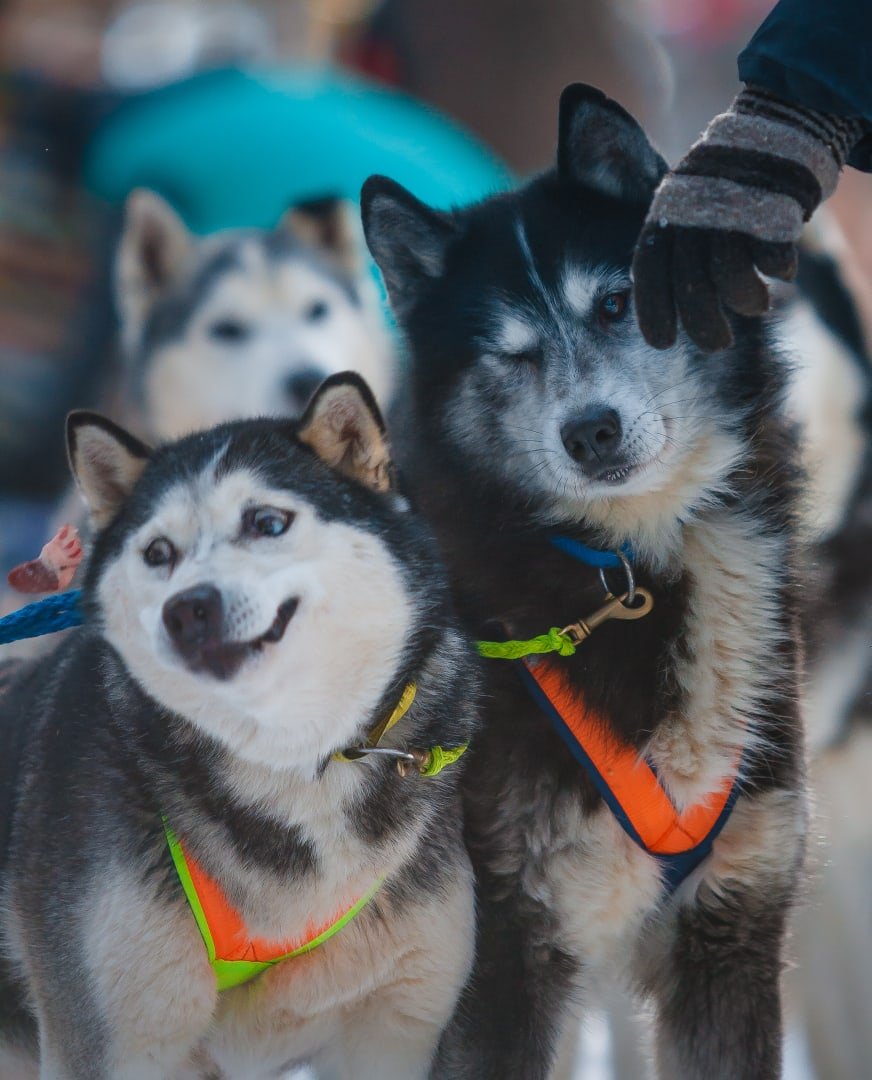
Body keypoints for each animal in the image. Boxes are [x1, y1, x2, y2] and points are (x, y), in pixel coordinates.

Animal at [0, 373, 477, 1080]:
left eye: (266, 522)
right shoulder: (111, 1036)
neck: (288, 765)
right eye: (158, 552)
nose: (186, 609)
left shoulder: (395, 1024)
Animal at [358, 86, 803, 1080]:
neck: (628, 563)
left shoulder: (731, 925)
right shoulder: (507, 953)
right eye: (512, 353)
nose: (590, 432)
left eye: (616, 303)